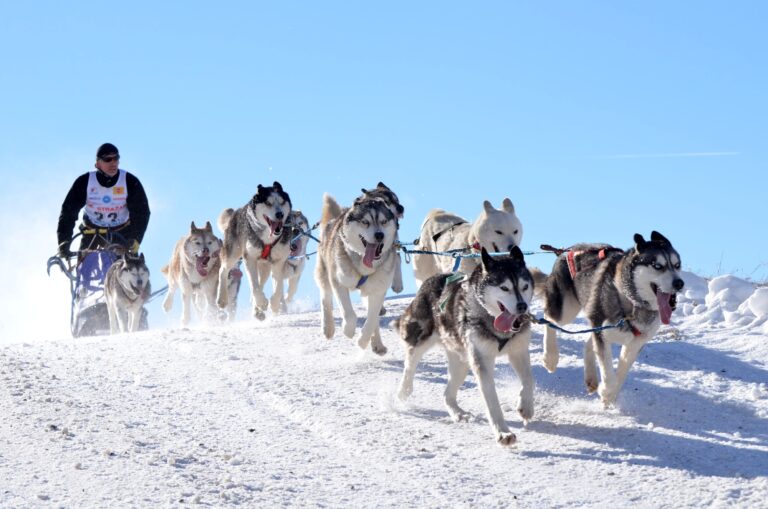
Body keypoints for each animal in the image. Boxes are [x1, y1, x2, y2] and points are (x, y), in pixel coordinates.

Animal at [218, 181, 292, 320]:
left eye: (282, 202)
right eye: (268, 203)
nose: (280, 214)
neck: (268, 238)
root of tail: (236, 212)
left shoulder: (278, 261)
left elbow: (278, 286)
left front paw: (274, 304)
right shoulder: (250, 259)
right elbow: (254, 286)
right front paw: (262, 303)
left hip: (265, 267)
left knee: (261, 283)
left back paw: (257, 311)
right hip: (233, 253)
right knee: (223, 271)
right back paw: (222, 299)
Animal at [314, 190, 396, 354]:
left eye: (384, 221)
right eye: (365, 222)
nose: (379, 235)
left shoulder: (378, 291)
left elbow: (371, 320)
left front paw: (363, 341)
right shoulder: (338, 282)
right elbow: (349, 315)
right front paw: (348, 331)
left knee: (374, 319)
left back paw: (377, 344)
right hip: (325, 273)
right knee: (325, 298)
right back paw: (328, 327)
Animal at [396, 248, 536, 446]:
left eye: (524, 286)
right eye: (504, 288)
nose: (522, 306)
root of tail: (432, 279)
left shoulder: (518, 351)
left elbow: (528, 380)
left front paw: (526, 407)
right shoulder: (482, 362)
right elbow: (492, 401)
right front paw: (503, 432)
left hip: (462, 363)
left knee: (447, 394)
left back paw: (458, 413)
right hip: (420, 341)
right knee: (409, 367)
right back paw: (403, 392)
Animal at [532, 230, 688, 404]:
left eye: (677, 265)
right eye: (658, 266)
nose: (679, 283)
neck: (631, 301)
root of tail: (566, 250)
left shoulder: (635, 343)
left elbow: (621, 371)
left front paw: (610, 395)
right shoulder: (602, 332)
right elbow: (607, 367)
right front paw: (607, 391)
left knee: (587, 343)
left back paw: (591, 377)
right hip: (567, 310)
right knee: (549, 319)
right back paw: (550, 357)